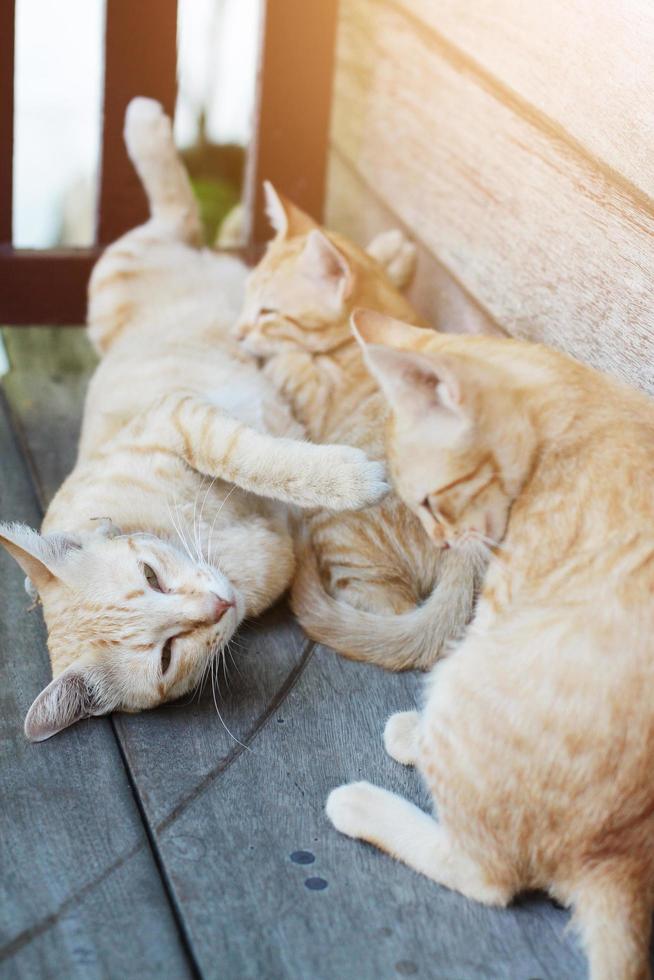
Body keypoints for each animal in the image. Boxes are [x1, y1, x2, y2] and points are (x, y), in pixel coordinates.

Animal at [0, 101, 390, 744]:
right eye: (166, 654)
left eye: (150, 575)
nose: (214, 608)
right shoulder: (273, 561)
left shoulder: (180, 418)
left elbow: (262, 460)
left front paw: (351, 481)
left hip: (108, 277)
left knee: (177, 213)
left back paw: (147, 124)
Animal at [233, 188, 484, 668]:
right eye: (246, 298)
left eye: (268, 312)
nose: (237, 333)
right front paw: (393, 251)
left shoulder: (308, 383)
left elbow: (286, 360)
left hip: (339, 522)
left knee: (390, 614)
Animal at [330, 308, 654, 980]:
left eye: (430, 501)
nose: (441, 541)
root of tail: (618, 859)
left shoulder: (503, 601)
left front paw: (417, 734)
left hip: (468, 681)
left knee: (488, 879)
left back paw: (368, 798)